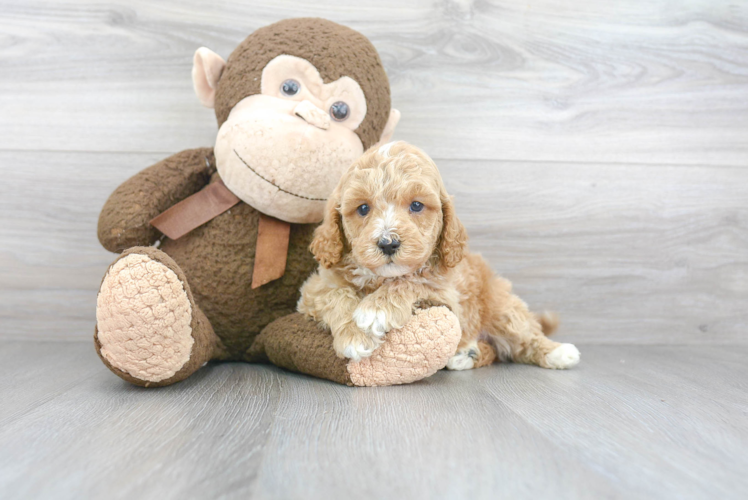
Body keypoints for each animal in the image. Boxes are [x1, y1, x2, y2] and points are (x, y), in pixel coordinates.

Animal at [296, 141, 580, 372]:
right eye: (363, 208)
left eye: (416, 205)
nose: (388, 243)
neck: (380, 279)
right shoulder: (314, 289)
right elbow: (337, 295)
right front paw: (354, 335)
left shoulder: (446, 296)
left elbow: (412, 281)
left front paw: (376, 310)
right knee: (496, 352)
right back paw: (468, 353)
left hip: (502, 309)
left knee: (524, 337)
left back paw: (558, 352)